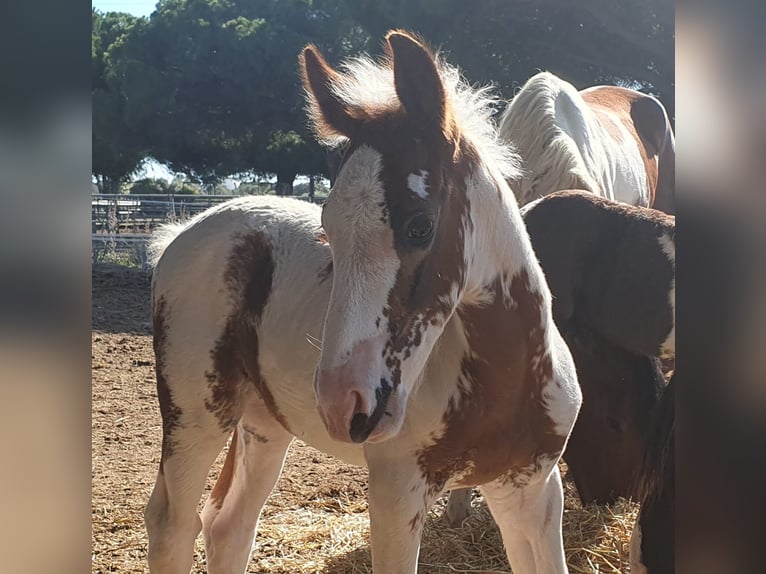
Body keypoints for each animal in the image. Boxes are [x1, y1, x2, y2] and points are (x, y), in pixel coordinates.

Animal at [142, 31, 584, 574]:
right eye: (327, 229)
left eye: (419, 226)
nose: (342, 405)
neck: (507, 380)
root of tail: (183, 231)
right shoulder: (396, 493)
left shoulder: (530, 489)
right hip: (196, 412)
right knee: (172, 524)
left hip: (264, 422)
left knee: (229, 525)